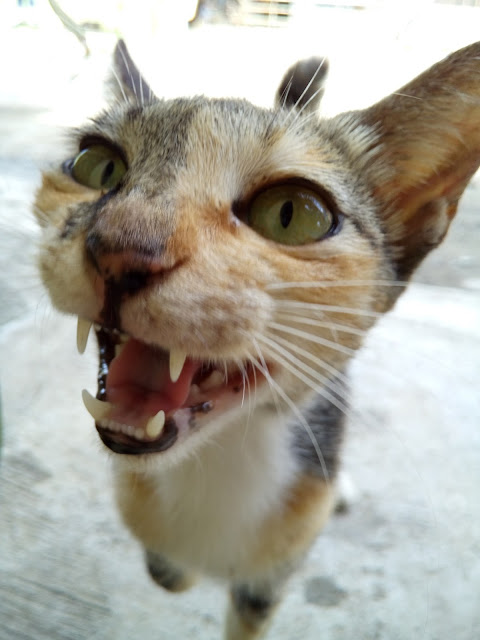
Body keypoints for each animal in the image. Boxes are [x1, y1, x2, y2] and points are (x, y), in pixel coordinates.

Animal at [34, 39, 480, 639]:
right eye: (96, 164)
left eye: (291, 214)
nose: (121, 249)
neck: (223, 453)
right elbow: (169, 571)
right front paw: (178, 564)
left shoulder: (271, 575)